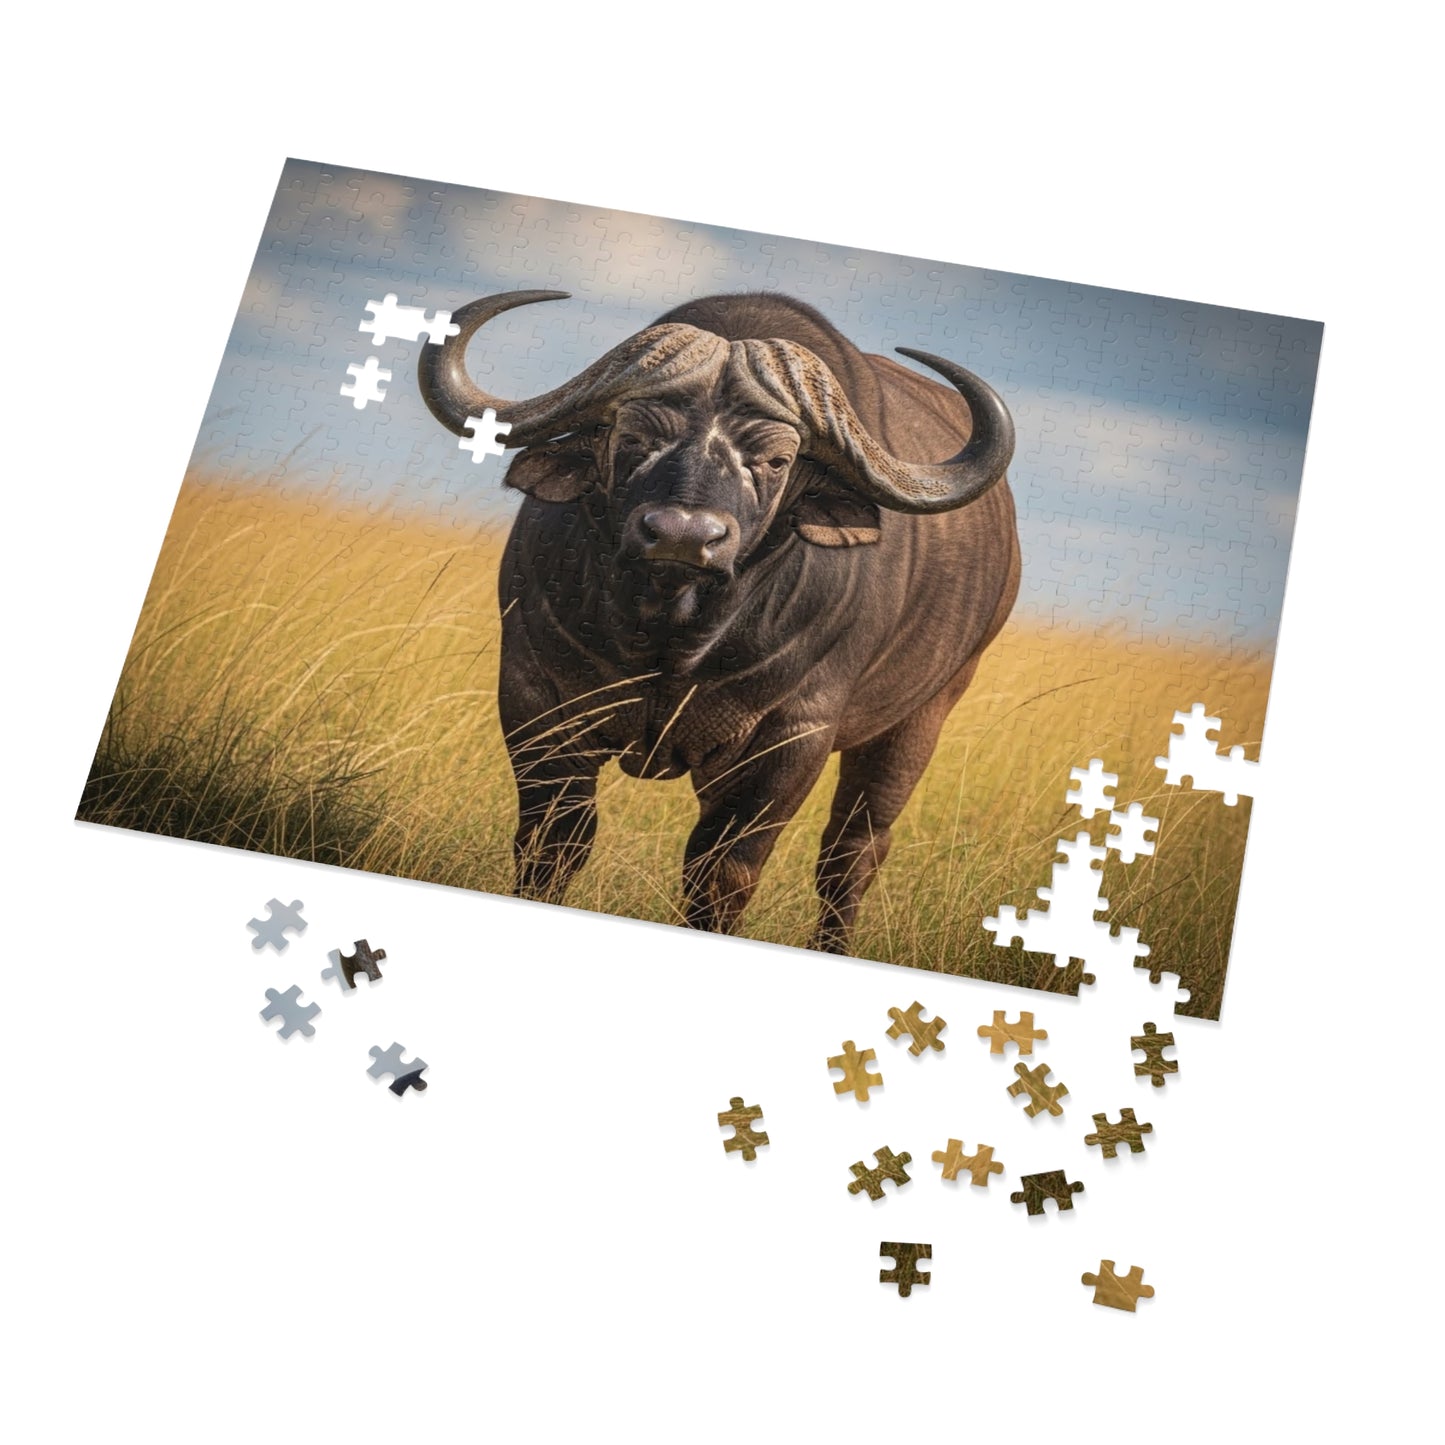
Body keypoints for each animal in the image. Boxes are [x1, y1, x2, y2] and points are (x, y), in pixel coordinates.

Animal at [419, 290, 1020, 952]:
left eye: (777, 459)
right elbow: (552, 843)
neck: (672, 637)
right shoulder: (534, 693)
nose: (682, 536)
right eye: (634, 437)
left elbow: (722, 874)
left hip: (923, 716)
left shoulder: (791, 737)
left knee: (851, 854)